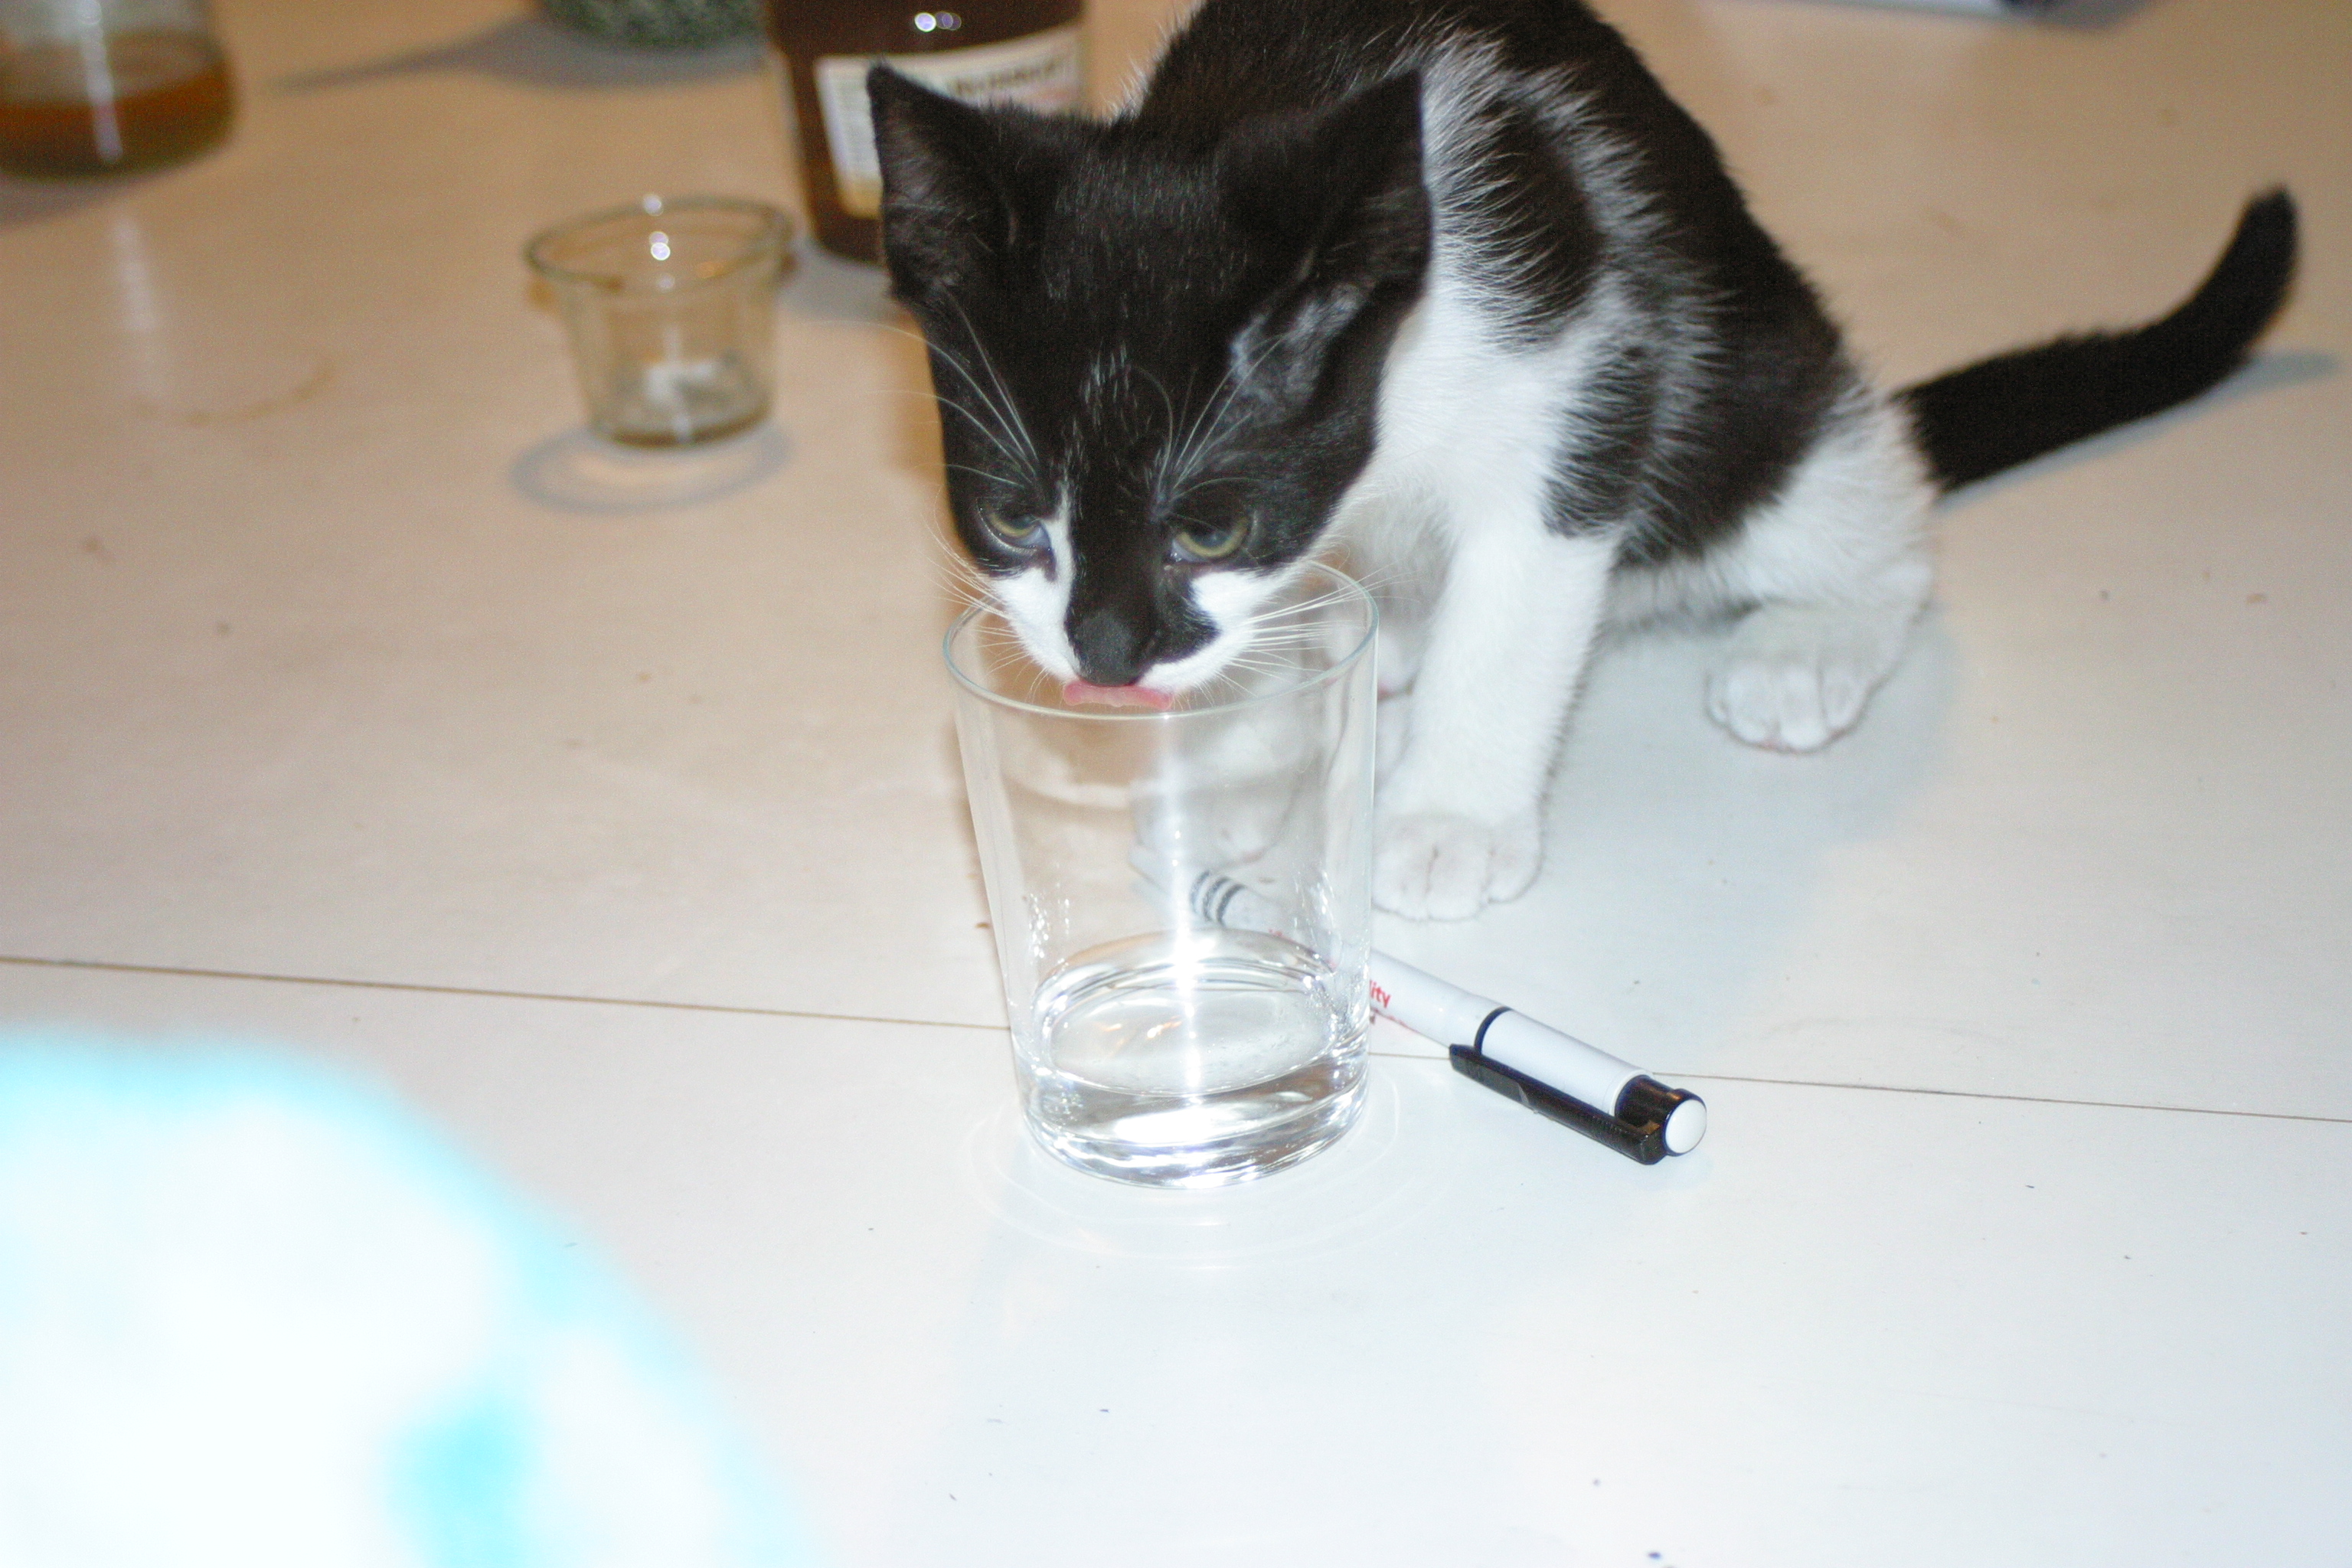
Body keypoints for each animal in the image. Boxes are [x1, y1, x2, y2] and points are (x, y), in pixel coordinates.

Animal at [867, 0, 2298, 920]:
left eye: (1207, 529)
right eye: (1013, 519)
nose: (1104, 657)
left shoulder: (1582, 375)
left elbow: (1513, 625)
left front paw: (1449, 817)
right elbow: (1277, 631)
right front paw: (1234, 770)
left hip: (1762, 394)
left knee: (1868, 519)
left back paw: (1806, 642)